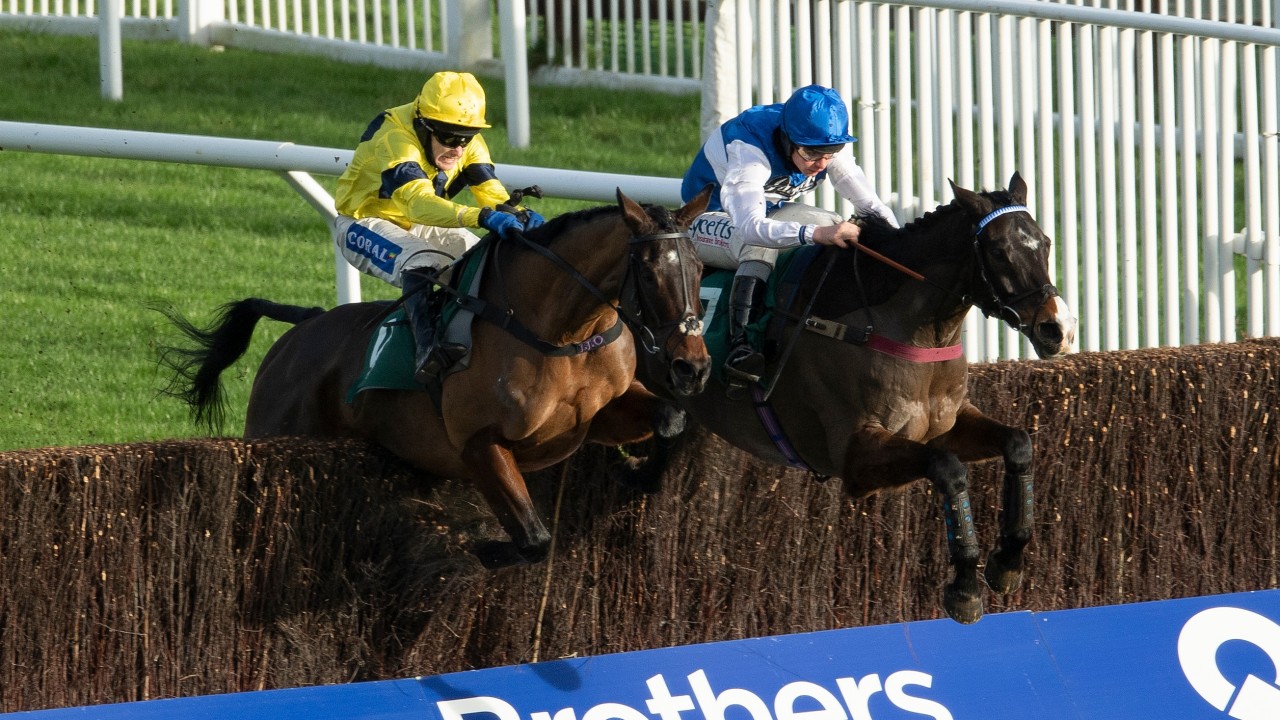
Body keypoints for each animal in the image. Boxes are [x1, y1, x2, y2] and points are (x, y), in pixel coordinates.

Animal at [158, 189, 711, 566]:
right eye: (647, 272)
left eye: (701, 268)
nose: (693, 364)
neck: (560, 332)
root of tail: (303, 326)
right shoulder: (478, 442)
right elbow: (535, 538)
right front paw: (484, 549)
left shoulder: (593, 416)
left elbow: (671, 418)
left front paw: (637, 472)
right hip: (274, 432)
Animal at [593, 170, 1075, 620]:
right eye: (997, 251)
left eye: (1046, 242)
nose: (1057, 328)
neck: (897, 324)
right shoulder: (855, 455)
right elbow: (948, 469)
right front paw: (965, 586)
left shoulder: (946, 424)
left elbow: (1019, 443)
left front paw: (1008, 561)